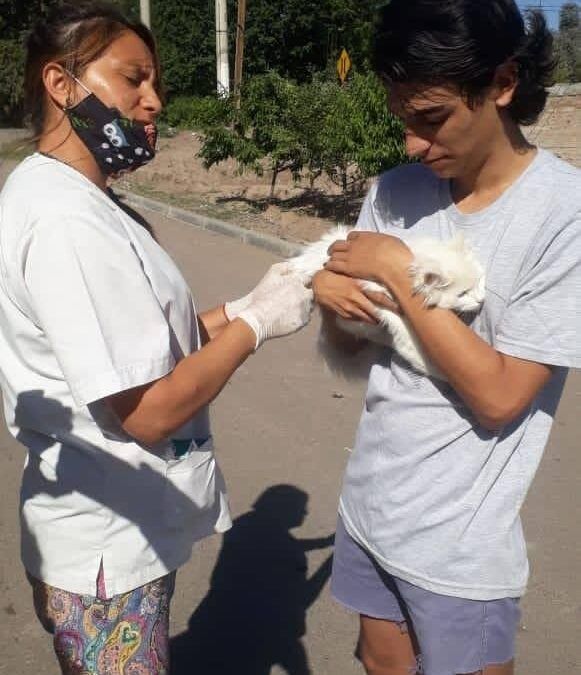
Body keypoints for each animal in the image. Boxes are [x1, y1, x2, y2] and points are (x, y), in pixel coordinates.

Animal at [288, 227, 486, 380]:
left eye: (480, 281)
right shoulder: (388, 309)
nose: (481, 300)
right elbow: (412, 346)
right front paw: (438, 372)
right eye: (463, 294)